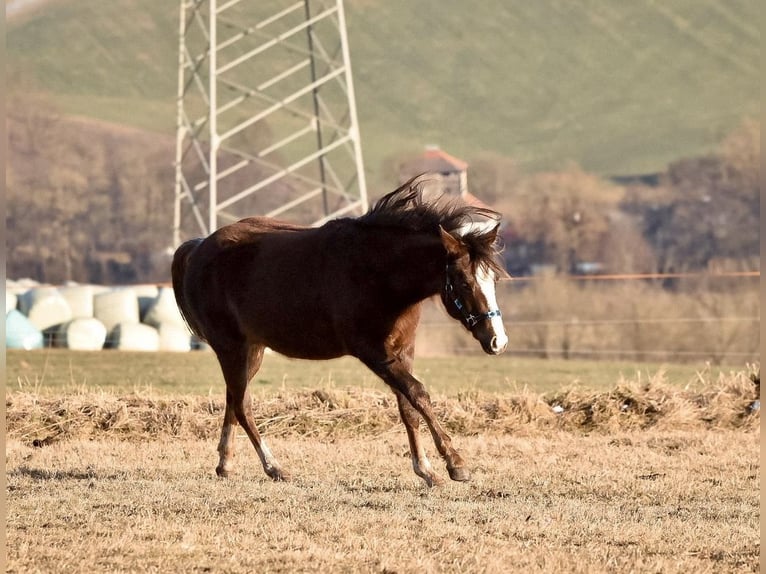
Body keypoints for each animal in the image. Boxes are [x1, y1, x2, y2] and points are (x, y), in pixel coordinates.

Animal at [172, 178, 510, 488]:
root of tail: (199, 247)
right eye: (464, 282)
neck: (378, 273)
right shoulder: (375, 354)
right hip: (230, 348)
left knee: (233, 400)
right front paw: (456, 464)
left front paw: (426, 470)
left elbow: (408, 408)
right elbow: (418, 394)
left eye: (493, 280)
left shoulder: (403, 351)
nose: (498, 341)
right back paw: (274, 467)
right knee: (243, 406)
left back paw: (225, 464)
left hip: (251, 351)